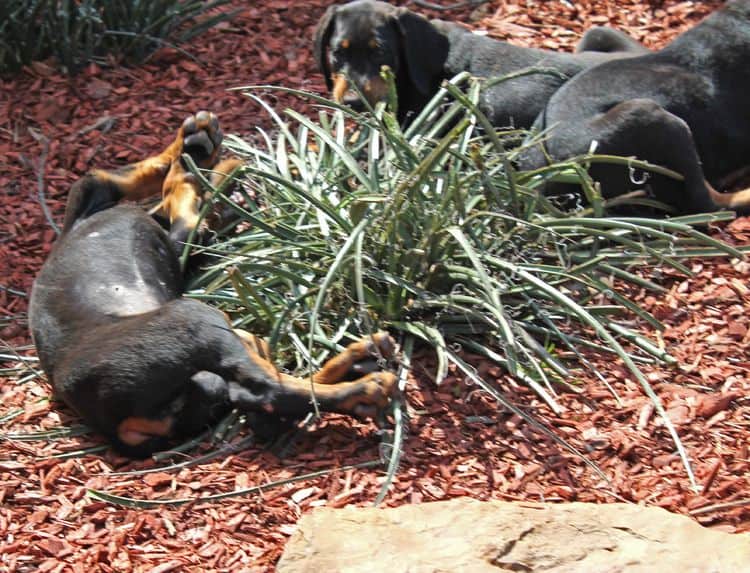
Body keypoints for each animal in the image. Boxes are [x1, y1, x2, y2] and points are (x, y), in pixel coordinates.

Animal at [27, 110, 400, 456]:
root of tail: (120, 427)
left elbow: (132, 176)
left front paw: (198, 153)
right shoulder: (171, 230)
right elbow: (147, 183)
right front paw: (195, 158)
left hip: (210, 371)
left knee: (258, 389)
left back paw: (357, 358)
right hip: (195, 319)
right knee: (268, 388)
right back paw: (362, 387)